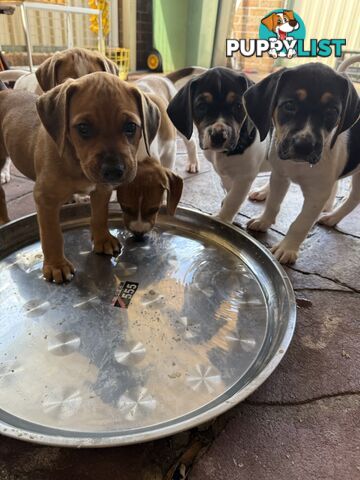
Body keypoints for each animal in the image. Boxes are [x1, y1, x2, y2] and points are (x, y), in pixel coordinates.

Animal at [0, 73, 160, 284]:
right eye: (83, 128)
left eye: (130, 127)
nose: (114, 171)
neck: (75, 161)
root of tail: (5, 91)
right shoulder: (45, 198)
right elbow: (52, 234)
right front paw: (56, 265)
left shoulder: (102, 189)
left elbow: (99, 216)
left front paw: (102, 239)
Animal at [167, 66, 268, 222]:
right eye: (201, 106)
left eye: (238, 106)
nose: (218, 136)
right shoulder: (224, 173)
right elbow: (228, 189)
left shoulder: (245, 177)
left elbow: (233, 200)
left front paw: (222, 219)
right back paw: (262, 192)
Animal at [246, 62, 358, 264]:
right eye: (289, 105)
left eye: (332, 112)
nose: (304, 147)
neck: (298, 166)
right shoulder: (281, 175)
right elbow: (273, 203)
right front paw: (264, 221)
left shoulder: (316, 194)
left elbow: (301, 222)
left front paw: (287, 248)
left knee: (353, 198)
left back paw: (332, 217)